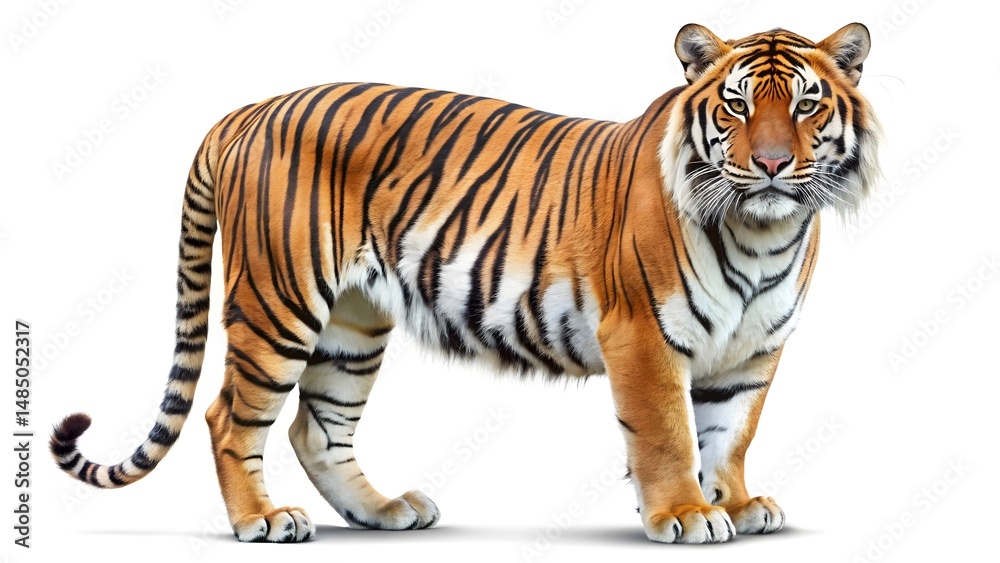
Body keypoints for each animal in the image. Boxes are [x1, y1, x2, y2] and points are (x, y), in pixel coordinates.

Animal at [50, 22, 881, 544]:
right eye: (737, 104)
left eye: (806, 104)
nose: (772, 164)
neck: (765, 233)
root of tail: (247, 110)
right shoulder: (643, 334)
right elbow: (670, 433)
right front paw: (683, 512)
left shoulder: (754, 351)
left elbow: (730, 432)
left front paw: (736, 503)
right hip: (278, 303)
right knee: (231, 416)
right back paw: (261, 519)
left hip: (353, 323)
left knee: (316, 427)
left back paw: (385, 510)